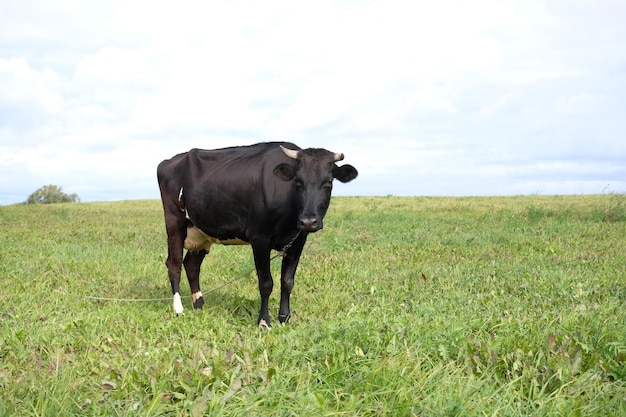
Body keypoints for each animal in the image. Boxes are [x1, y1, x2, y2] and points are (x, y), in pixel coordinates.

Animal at [156, 141, 356, 326]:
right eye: (298, 182)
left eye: (328, 182)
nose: (308, 221)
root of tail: (169, 161)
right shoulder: (259, 238)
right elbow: (266, 283)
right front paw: (264, 321)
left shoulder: (298, 240)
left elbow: (287, 281)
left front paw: (284, 318)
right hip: (174, 221)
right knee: (174, 264)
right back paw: (179, 309)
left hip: (201, 232)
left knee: (191, 265)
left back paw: (199, 305)